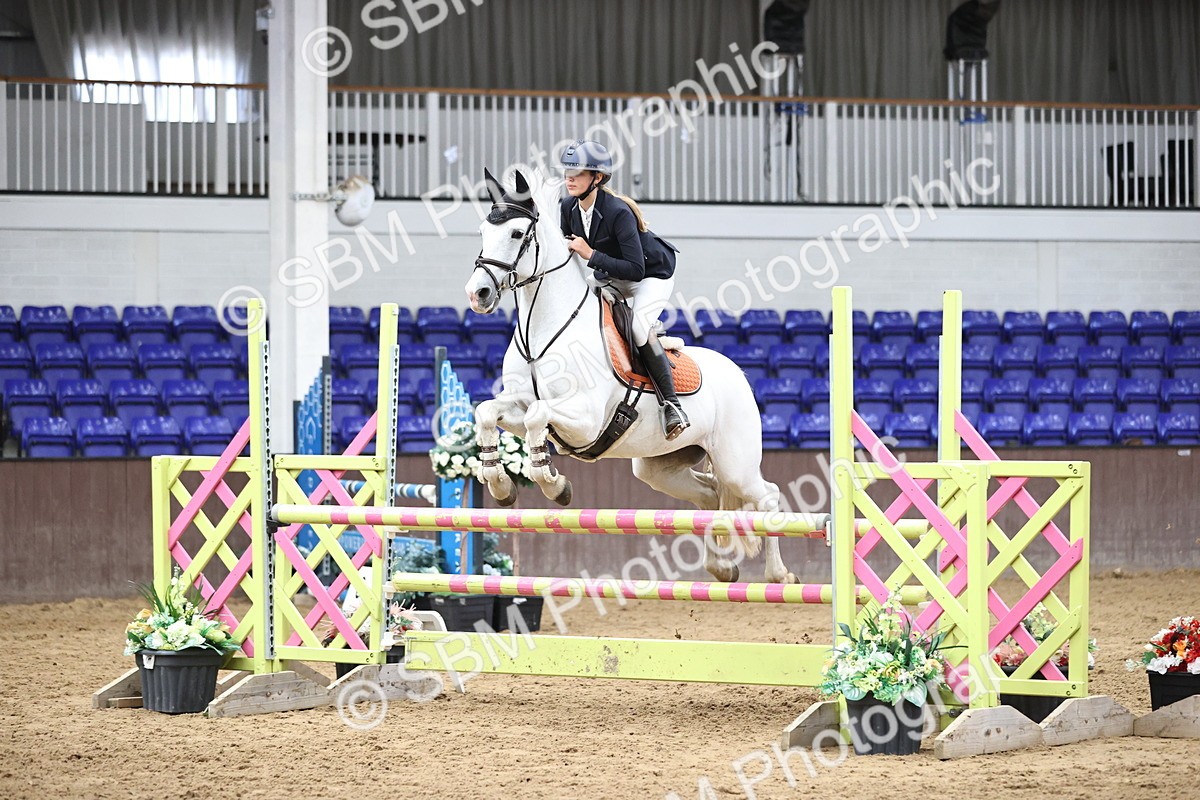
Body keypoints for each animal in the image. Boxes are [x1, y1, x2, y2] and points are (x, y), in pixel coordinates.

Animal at [463, 169, 796, 584]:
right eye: (481, 231)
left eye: (516, 233)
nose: (477, 294)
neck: (544, 326)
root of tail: (738, 373)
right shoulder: (519, 405)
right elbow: (488, 412)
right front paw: (501, 485)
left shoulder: (584, 421)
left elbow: (539, 417)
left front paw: (556, 487)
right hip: (658, 467)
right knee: (708, 495)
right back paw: (721, 567)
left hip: (736, 462)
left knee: (766, 494)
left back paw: (780, 575)